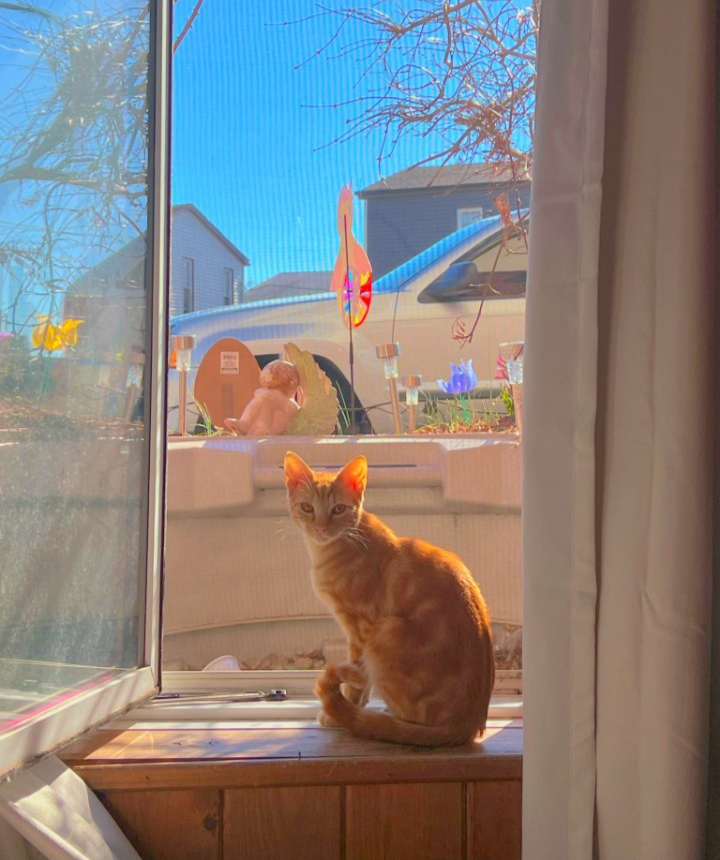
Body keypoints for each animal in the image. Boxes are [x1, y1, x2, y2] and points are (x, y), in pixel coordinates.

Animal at [284, 450, 492, 744]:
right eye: (307, 508)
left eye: (338, 509)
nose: (322, 528)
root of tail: (467, 724)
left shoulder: (361, 628)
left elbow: (358, 678)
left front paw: (344, 711)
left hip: (386, 629)